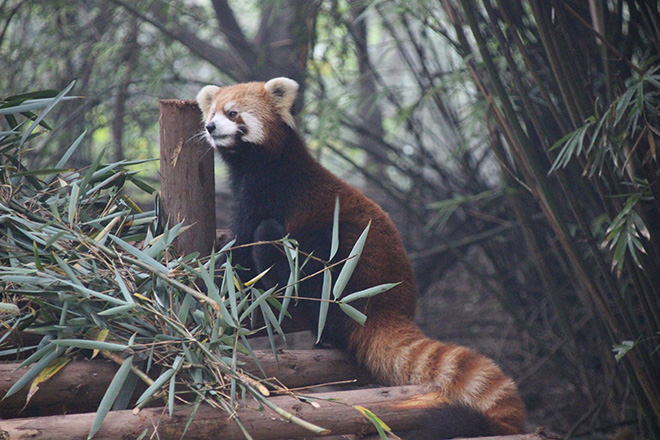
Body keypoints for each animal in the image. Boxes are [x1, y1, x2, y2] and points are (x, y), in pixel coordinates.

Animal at [196, 77, 524, 434]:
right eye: (212, 113)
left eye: (233, 113)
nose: (211, 127)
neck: (261, 160)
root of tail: (390, 306)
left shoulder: (268, 190)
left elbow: (244, 240)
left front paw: (219, 280)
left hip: (342, 266)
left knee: (274, 239)